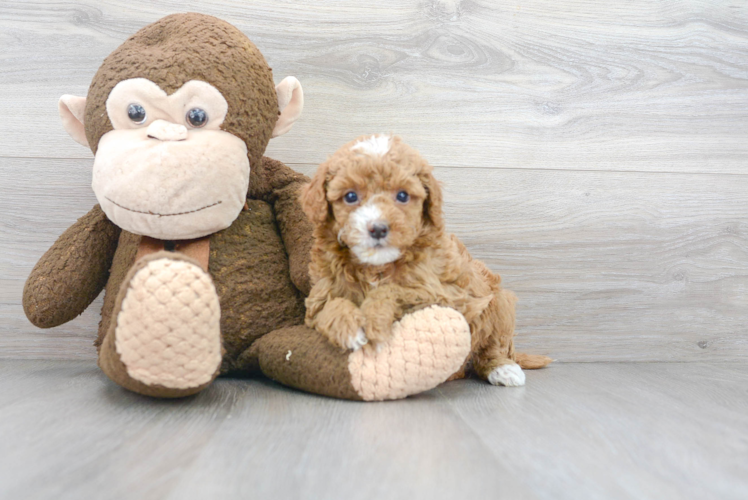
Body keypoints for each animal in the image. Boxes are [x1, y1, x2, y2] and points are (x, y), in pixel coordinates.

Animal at [298, 134, 548, 386]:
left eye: (402, 195)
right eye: (350, 196)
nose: (378, 228)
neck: (376, 267)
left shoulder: (443, 294)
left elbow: (392, 290)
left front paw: (373, 321)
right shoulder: (319, 297)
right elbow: (330, 306)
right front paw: (349, 329)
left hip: (499, 304)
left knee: (493, 346)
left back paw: (504, 369)